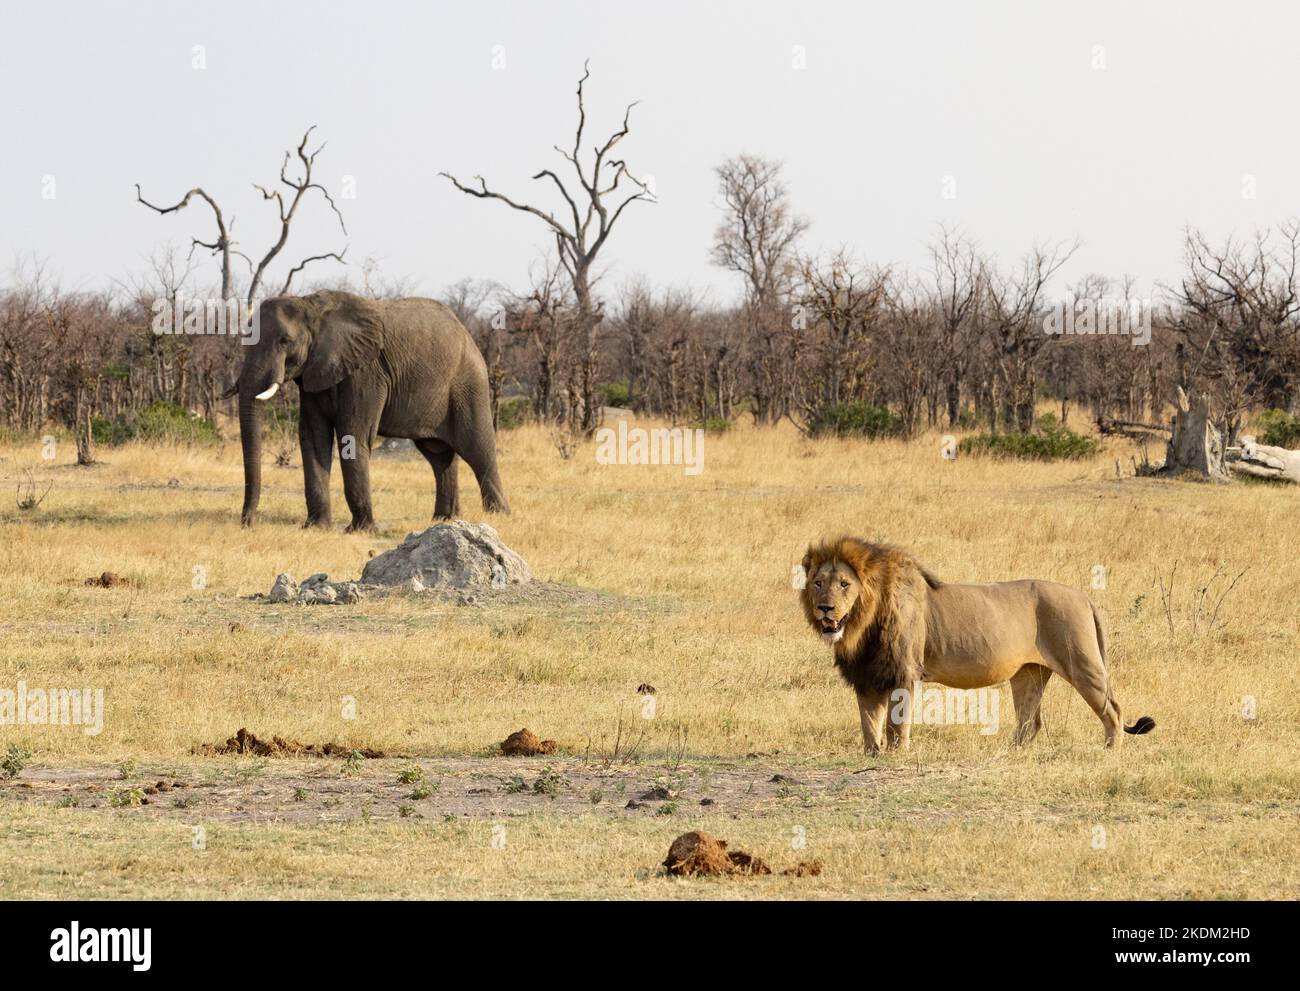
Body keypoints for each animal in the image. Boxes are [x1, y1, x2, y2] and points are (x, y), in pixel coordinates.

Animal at [798, 537, 1155, 753]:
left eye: (845, 584)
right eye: (818, 583)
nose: (825, 608)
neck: (862, 625)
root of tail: (1084, 596)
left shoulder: (905, 672)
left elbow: (896, 723)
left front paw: (897, 755)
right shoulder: (866, 674)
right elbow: (869, 723)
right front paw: (872, 755)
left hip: (1083, 664)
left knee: (1113, 710)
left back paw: (1110, 751)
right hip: (1029, 673)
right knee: (1031, 721)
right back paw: (1011, 752)